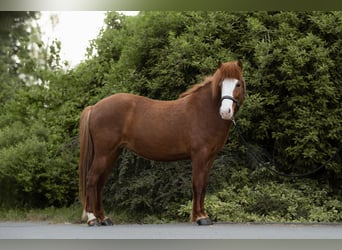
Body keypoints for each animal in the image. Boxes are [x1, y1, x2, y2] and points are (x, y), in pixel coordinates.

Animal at [79, 61, 246, 227]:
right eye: (220, 84)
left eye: (237, 83)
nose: (225, 112)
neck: (203, 111)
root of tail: (94, 107)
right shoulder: (200, 155)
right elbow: (197, 184)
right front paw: (200, 217)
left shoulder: (210, 157)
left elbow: (203, 185)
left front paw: (203, 215)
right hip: (103, 154)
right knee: (91, 180)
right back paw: (92, 218)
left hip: (112, 154)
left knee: (100, 184)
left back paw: (104, 218)